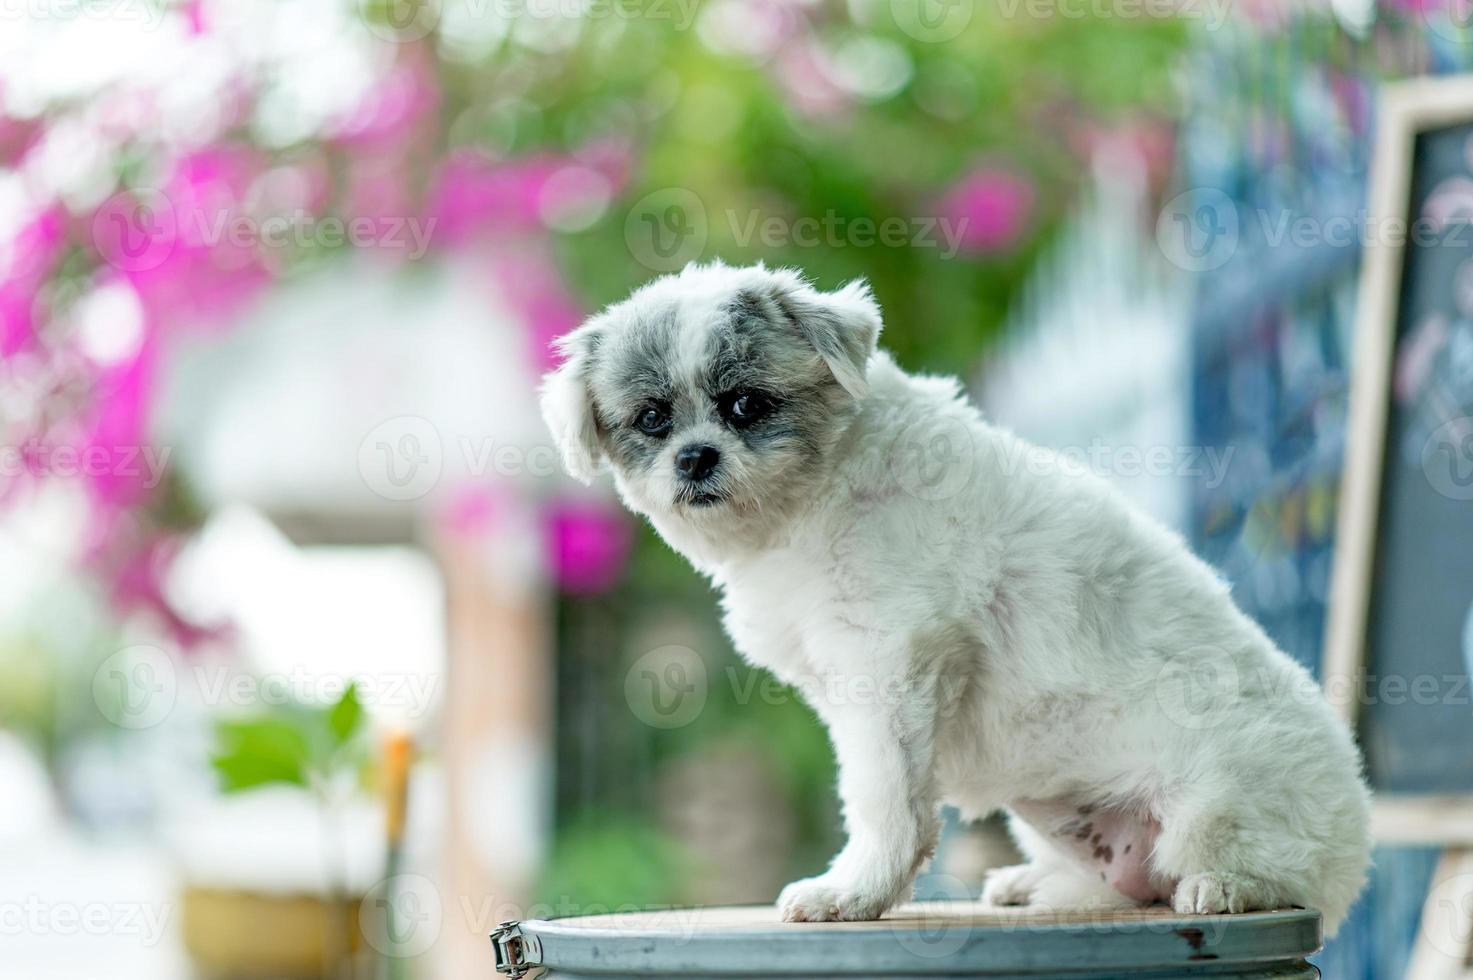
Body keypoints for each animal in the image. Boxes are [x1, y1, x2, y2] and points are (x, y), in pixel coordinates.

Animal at [547, 262, 1372, 931]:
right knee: (1124, 886)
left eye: (746, 405)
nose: (694, 457)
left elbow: (882, 800)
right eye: (652, 419)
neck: (821, 492)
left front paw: (854, 890)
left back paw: (1227, 885)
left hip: (1221, 805)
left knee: (1256, 877)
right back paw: (1035, 884)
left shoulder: (888, 667)